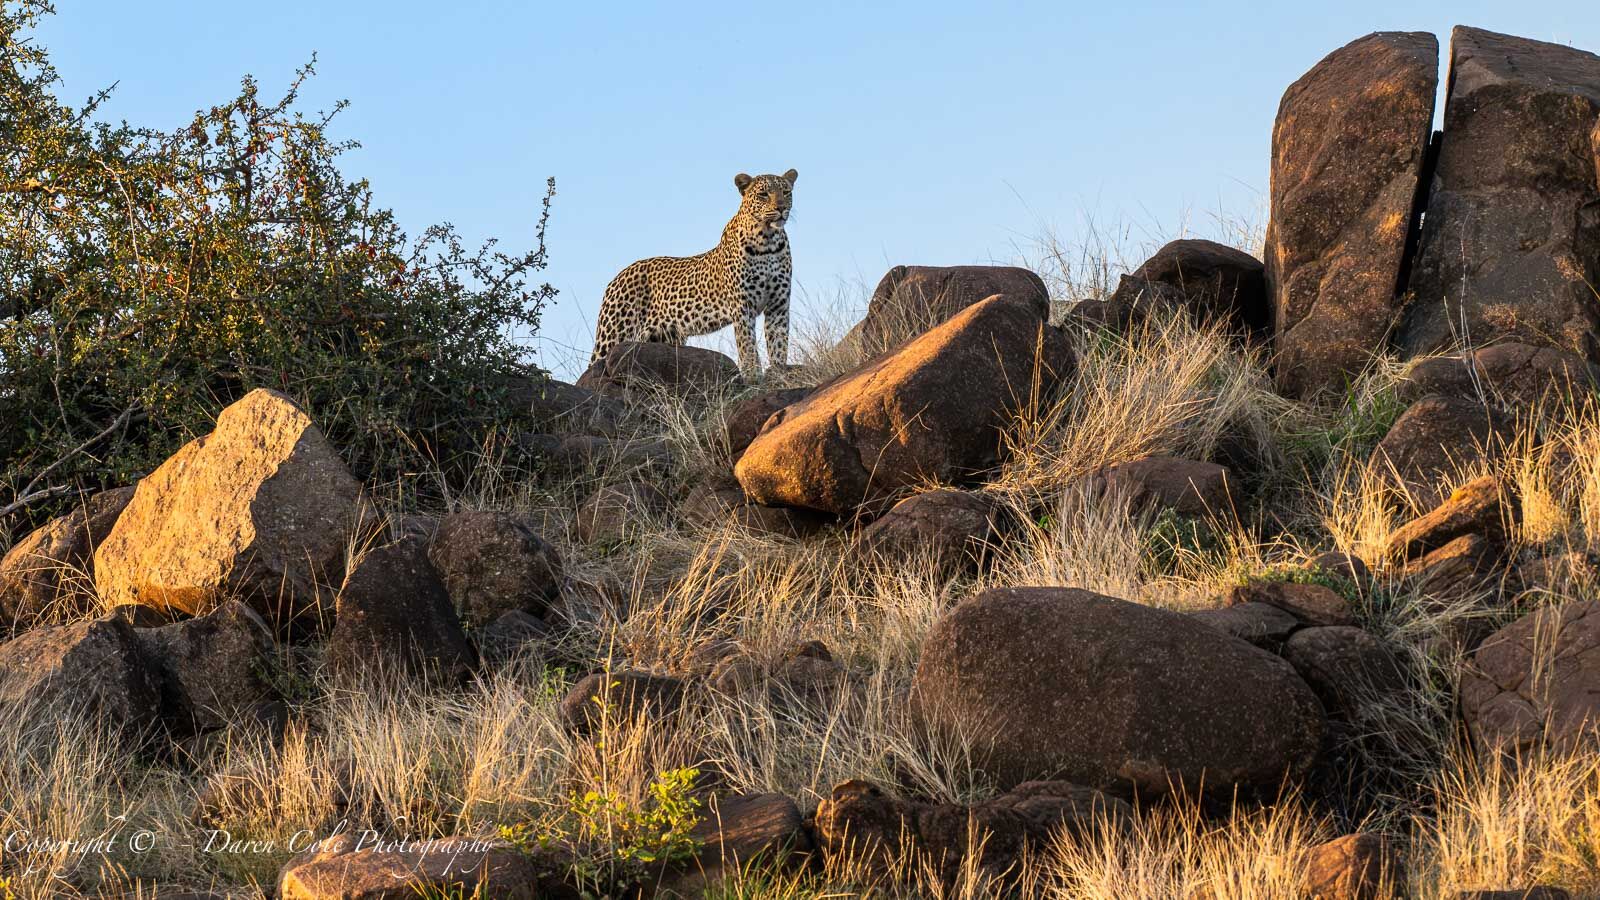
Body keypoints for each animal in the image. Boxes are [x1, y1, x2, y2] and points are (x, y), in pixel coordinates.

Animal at [590, 169, 796, 376]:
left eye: (786, 192)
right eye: (763, 194)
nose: (781, 208)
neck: (767, 242)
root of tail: (617, 277)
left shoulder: (778, 305)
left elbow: (779, 344)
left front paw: (779, 373)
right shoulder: (742, 306)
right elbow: (747, 343)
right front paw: (752, 373)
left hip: (664, 337)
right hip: (616, 332)